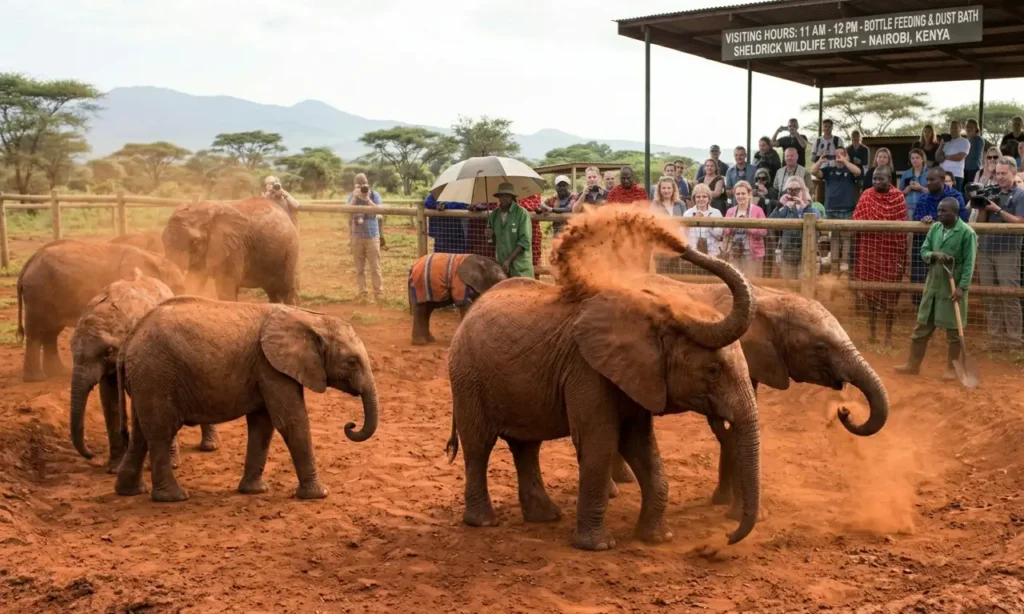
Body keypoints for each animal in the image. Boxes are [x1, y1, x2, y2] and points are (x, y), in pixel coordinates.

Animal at [16, 239, 186, 382]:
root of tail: (30, 261)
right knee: (36, 333)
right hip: (38, 293)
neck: (153, 258)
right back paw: (37, 379)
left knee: (51, 333)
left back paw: (58, 372)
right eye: (177, 288)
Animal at [68, 269, 219, 472]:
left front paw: (171, 465)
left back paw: (209, 447)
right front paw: (114, 468)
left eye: (108, 352)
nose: (91, 455)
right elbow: (108, 397)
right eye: (71, 348)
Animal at [114, 297, 379, 503]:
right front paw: (319, 494)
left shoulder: (264, 369)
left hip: (147, 378)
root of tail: (129, 341)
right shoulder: (271, 367)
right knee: (160, 430)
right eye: (352, 362)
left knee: (141, 433)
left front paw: (254, 491)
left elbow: (263, 424)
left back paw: (130, 491)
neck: (310, 319)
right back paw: (174, 497)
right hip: (157, 374)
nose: (350, 425)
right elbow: (291, 422)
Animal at [161, 197, 299, 304]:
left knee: (286, 289)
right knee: (272, 291)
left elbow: (225, 287)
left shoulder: (234, 246)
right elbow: (195, 279)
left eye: (195, 241)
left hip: (289, 250)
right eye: (162, 238)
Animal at [445, 232, 761, 550]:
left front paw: (657, 538)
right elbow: (600, 442)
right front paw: (597, 546)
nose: (727, 537)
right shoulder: (586, 370)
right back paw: (484, 522)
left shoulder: (637, 377)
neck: (659, 310)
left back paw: (545, 517)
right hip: (467, 376)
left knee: (526, 446)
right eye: (713, 371)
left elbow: (641, 445)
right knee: (479, 445)